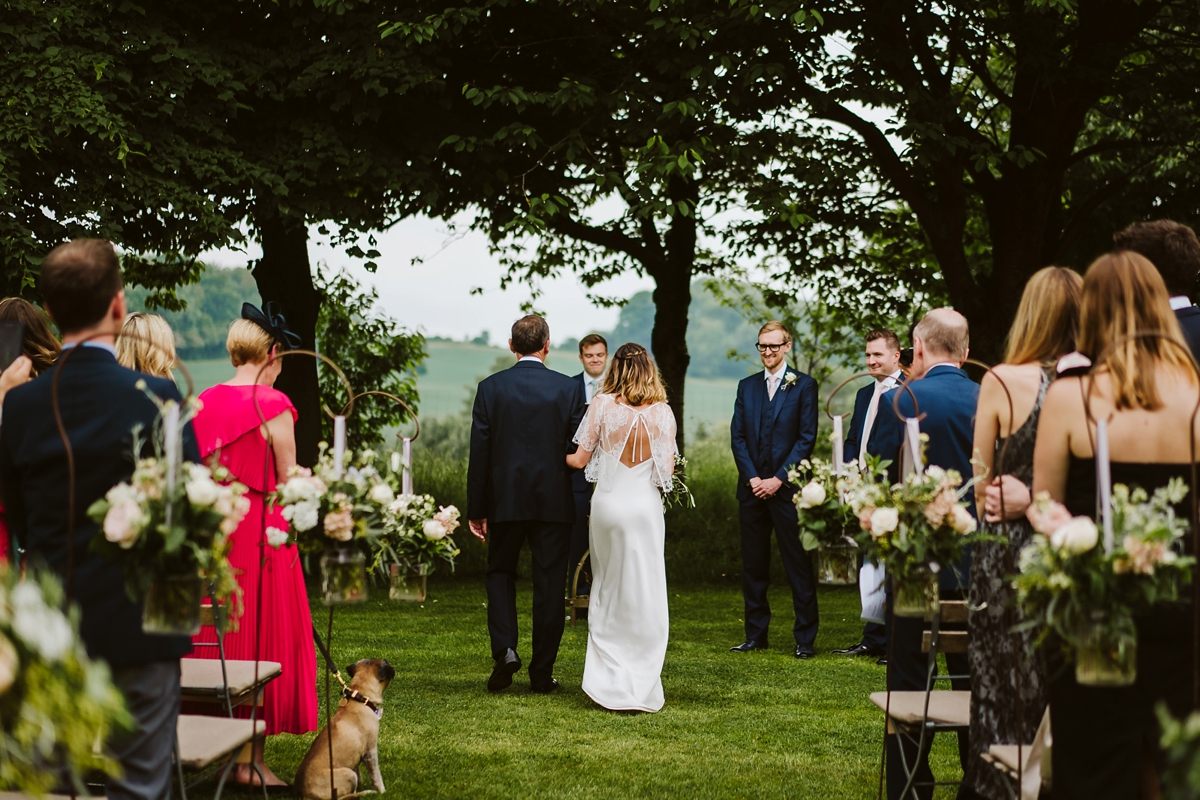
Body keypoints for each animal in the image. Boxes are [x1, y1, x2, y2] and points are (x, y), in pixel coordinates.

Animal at [297, 657, 396, 800]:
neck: (361, 699)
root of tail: (306, 795)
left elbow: (359, 770)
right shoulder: (370, 751)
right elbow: (376, 776)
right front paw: (382, 792)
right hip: (348, 774)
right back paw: (366, 792)